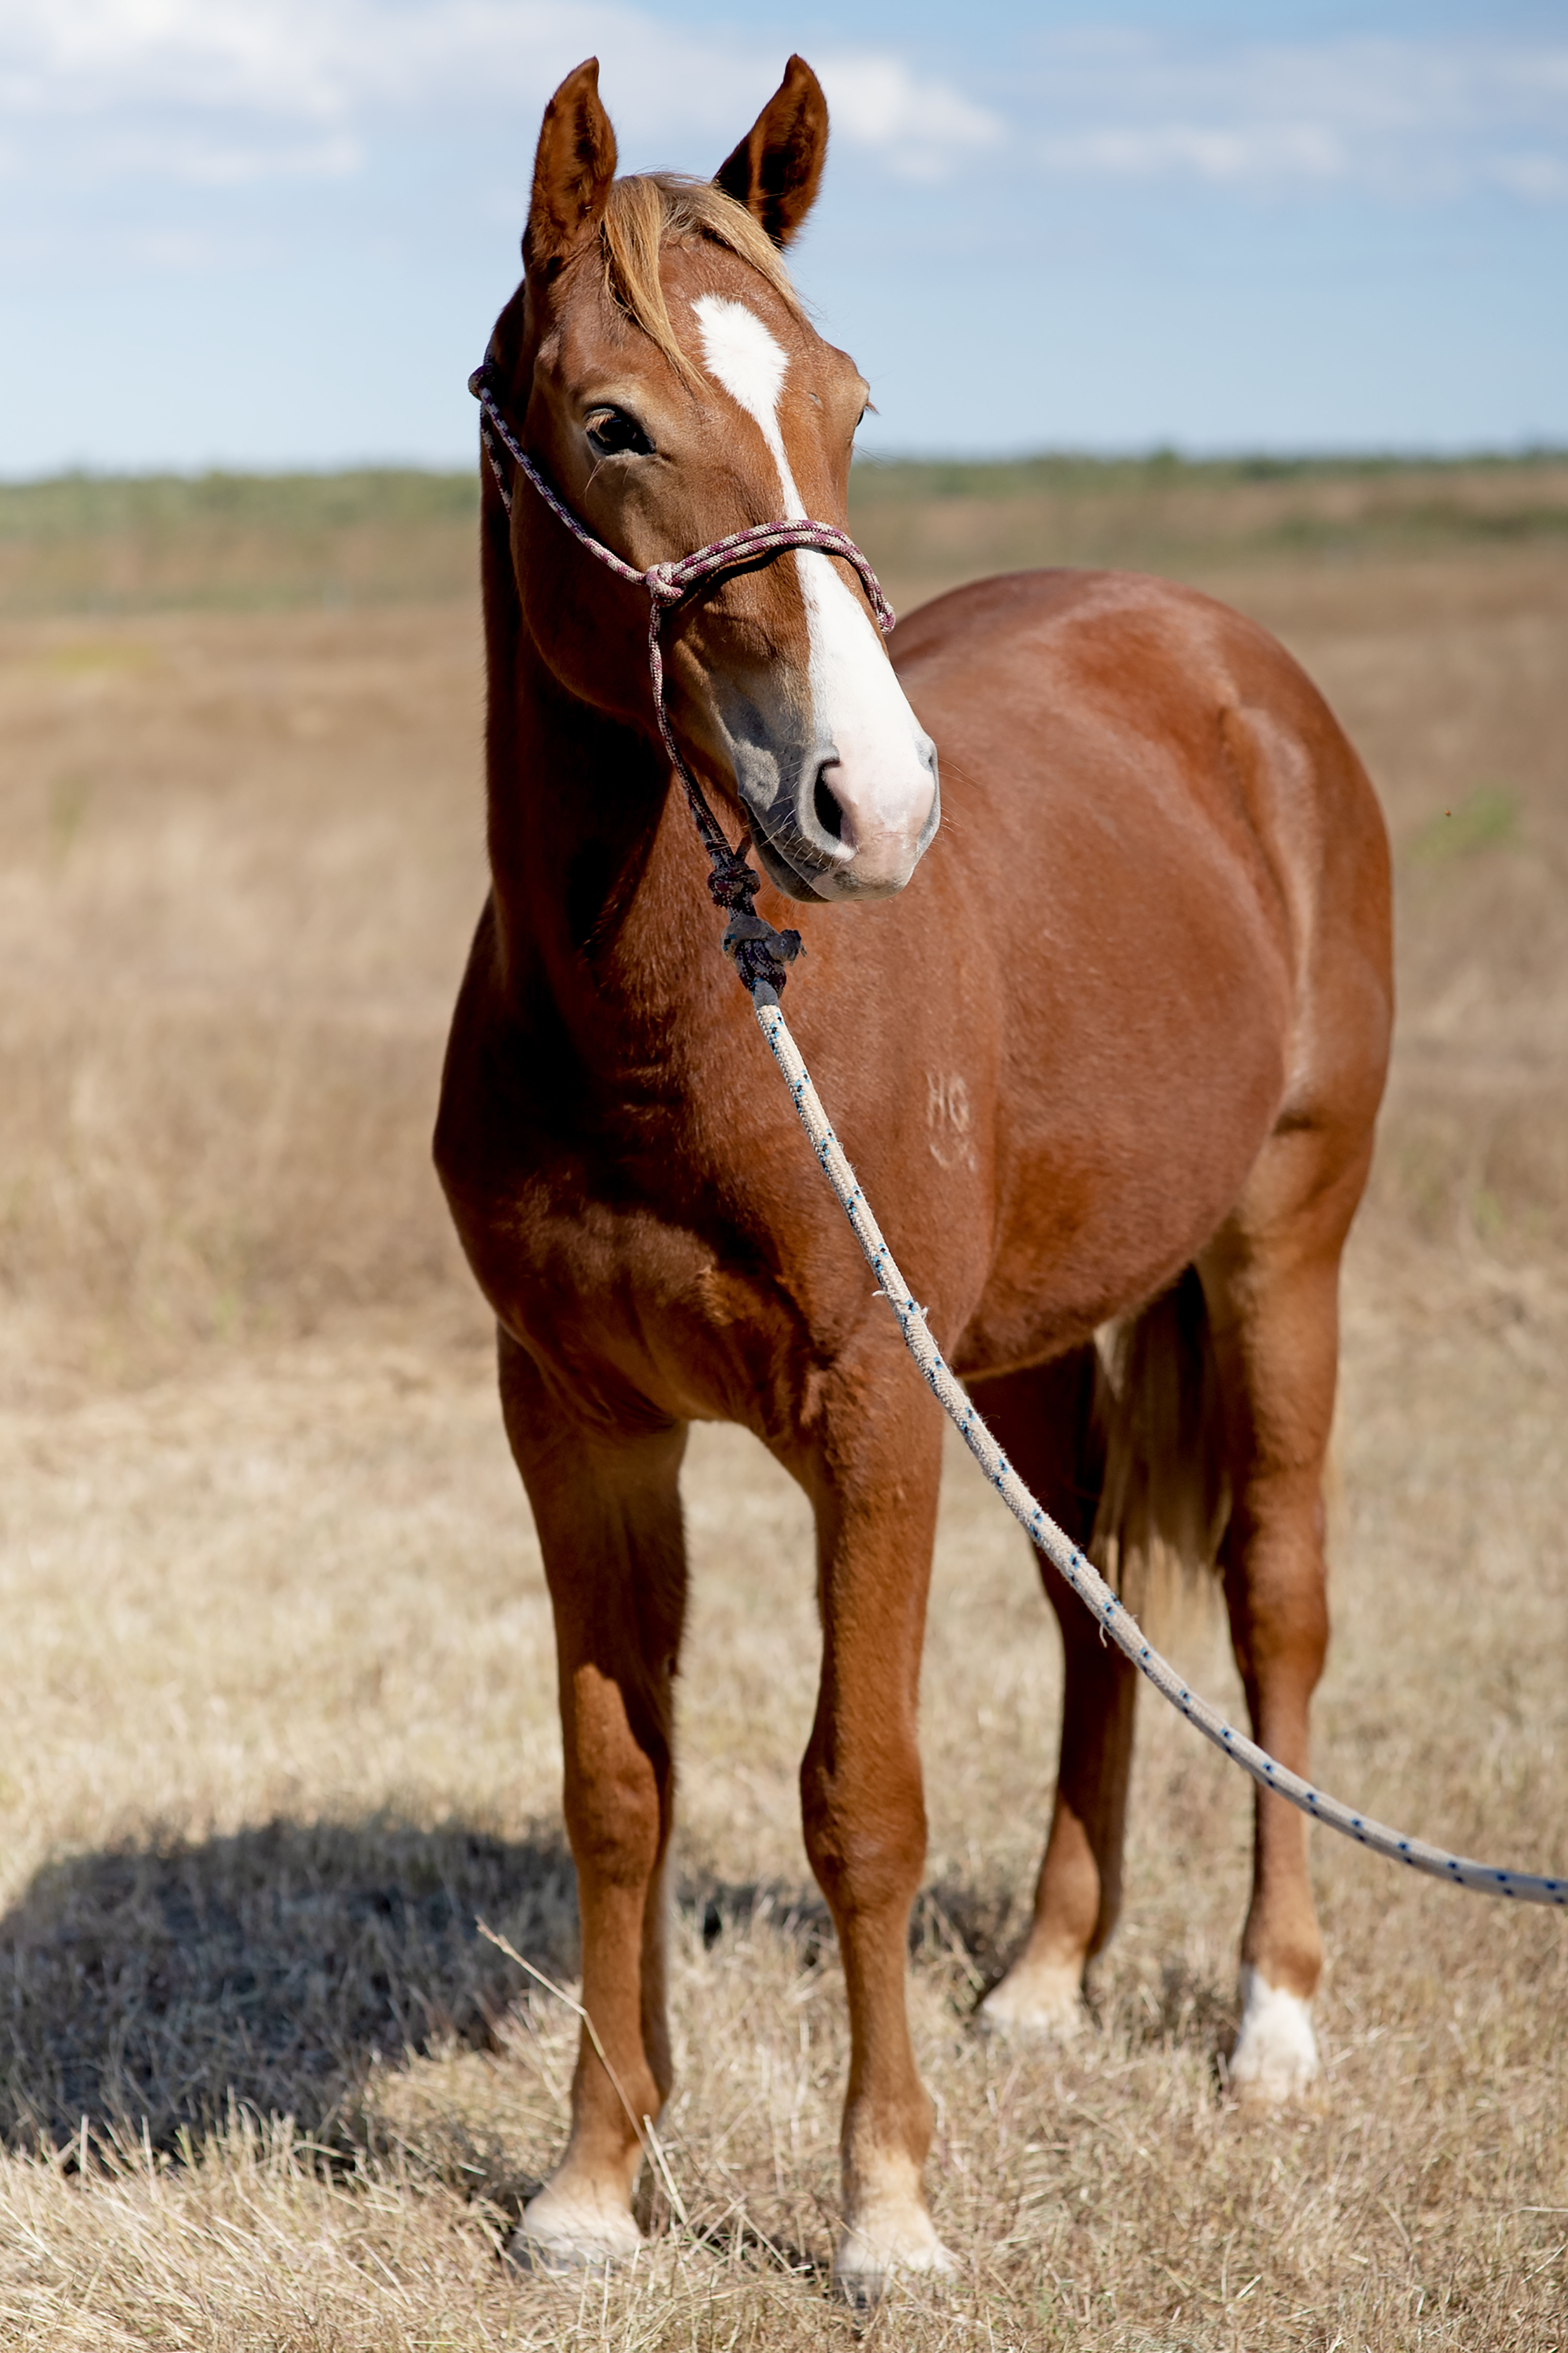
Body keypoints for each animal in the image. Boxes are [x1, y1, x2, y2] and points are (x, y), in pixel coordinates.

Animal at [434, 54, 1393, 2297]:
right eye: (613, 424)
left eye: (850, 403)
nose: (868, 806)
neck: (671, 1032)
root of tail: (1239, 671)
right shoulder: (576, 1421)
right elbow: (619, 1786)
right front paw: (588, 2185)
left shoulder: (869, 1412)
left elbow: (856, 1797)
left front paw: (884, 2211)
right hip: (1032, 1346)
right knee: (1093, 1615)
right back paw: (1043, 1980)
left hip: (1281, 1249)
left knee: (1273, 1603)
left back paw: (1269, 2017)